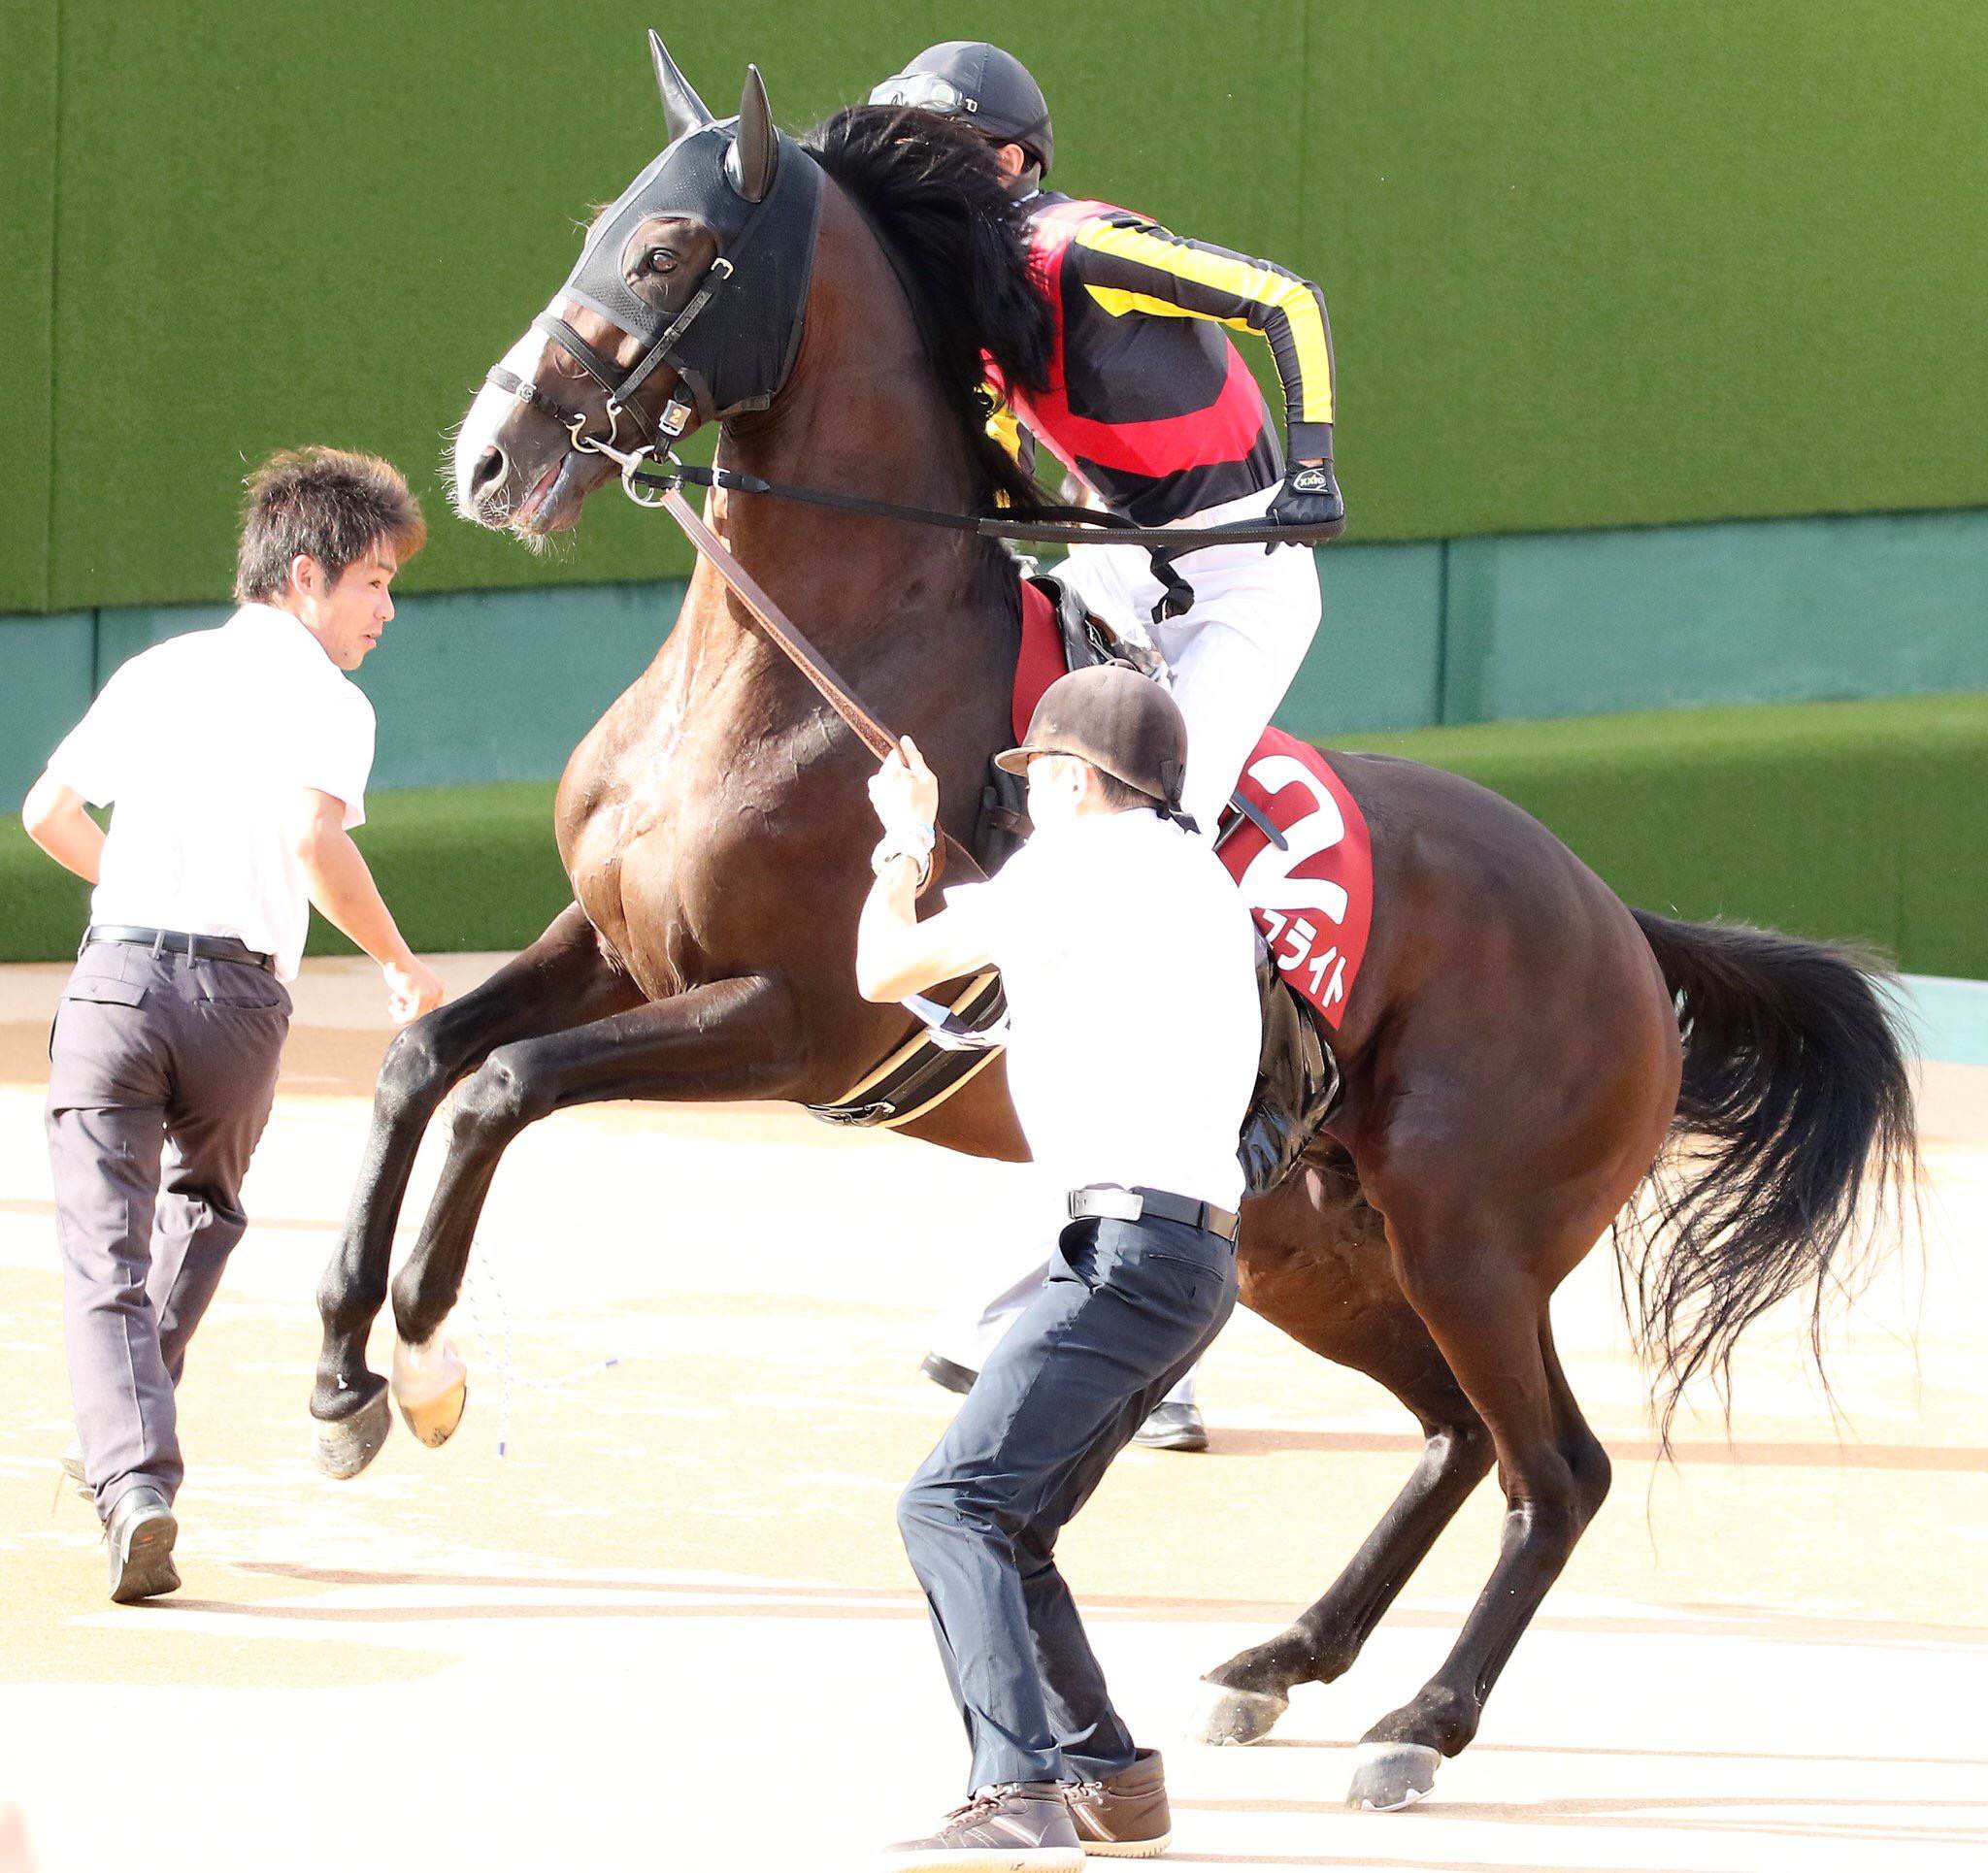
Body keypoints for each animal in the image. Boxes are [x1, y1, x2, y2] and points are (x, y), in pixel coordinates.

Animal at [311, 41, 1917, 1811]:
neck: (806, 660)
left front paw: (424, 1358)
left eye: (667, 253)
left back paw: (1419, 1724)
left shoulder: (795, 1020)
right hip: (1311, 1243)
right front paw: (340, 1374)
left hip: (1467, 1235)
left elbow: (502, 1089)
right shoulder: (612, 945)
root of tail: (1622, 928)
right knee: (1453, 1437)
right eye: (600, 224)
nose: (485, 460)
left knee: (1553, 1467)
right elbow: (422, 1060)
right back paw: (1280, 1663)